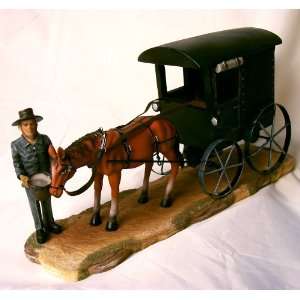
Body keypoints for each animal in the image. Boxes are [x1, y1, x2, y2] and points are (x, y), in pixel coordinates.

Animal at [49, 116, 180, 231]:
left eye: (63, 170)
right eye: (51, 170)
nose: (53, 192)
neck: (101, 149)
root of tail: (166, 121)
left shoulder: (114, 174)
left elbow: (114, 192)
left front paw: (112, 221)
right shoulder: (98, 173)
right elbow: (97, 190)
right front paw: (95, 217)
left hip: (167, 149)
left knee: (175, 166)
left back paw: (166, 198)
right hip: (148, 153)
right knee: (148, 167)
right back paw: (143, 196)